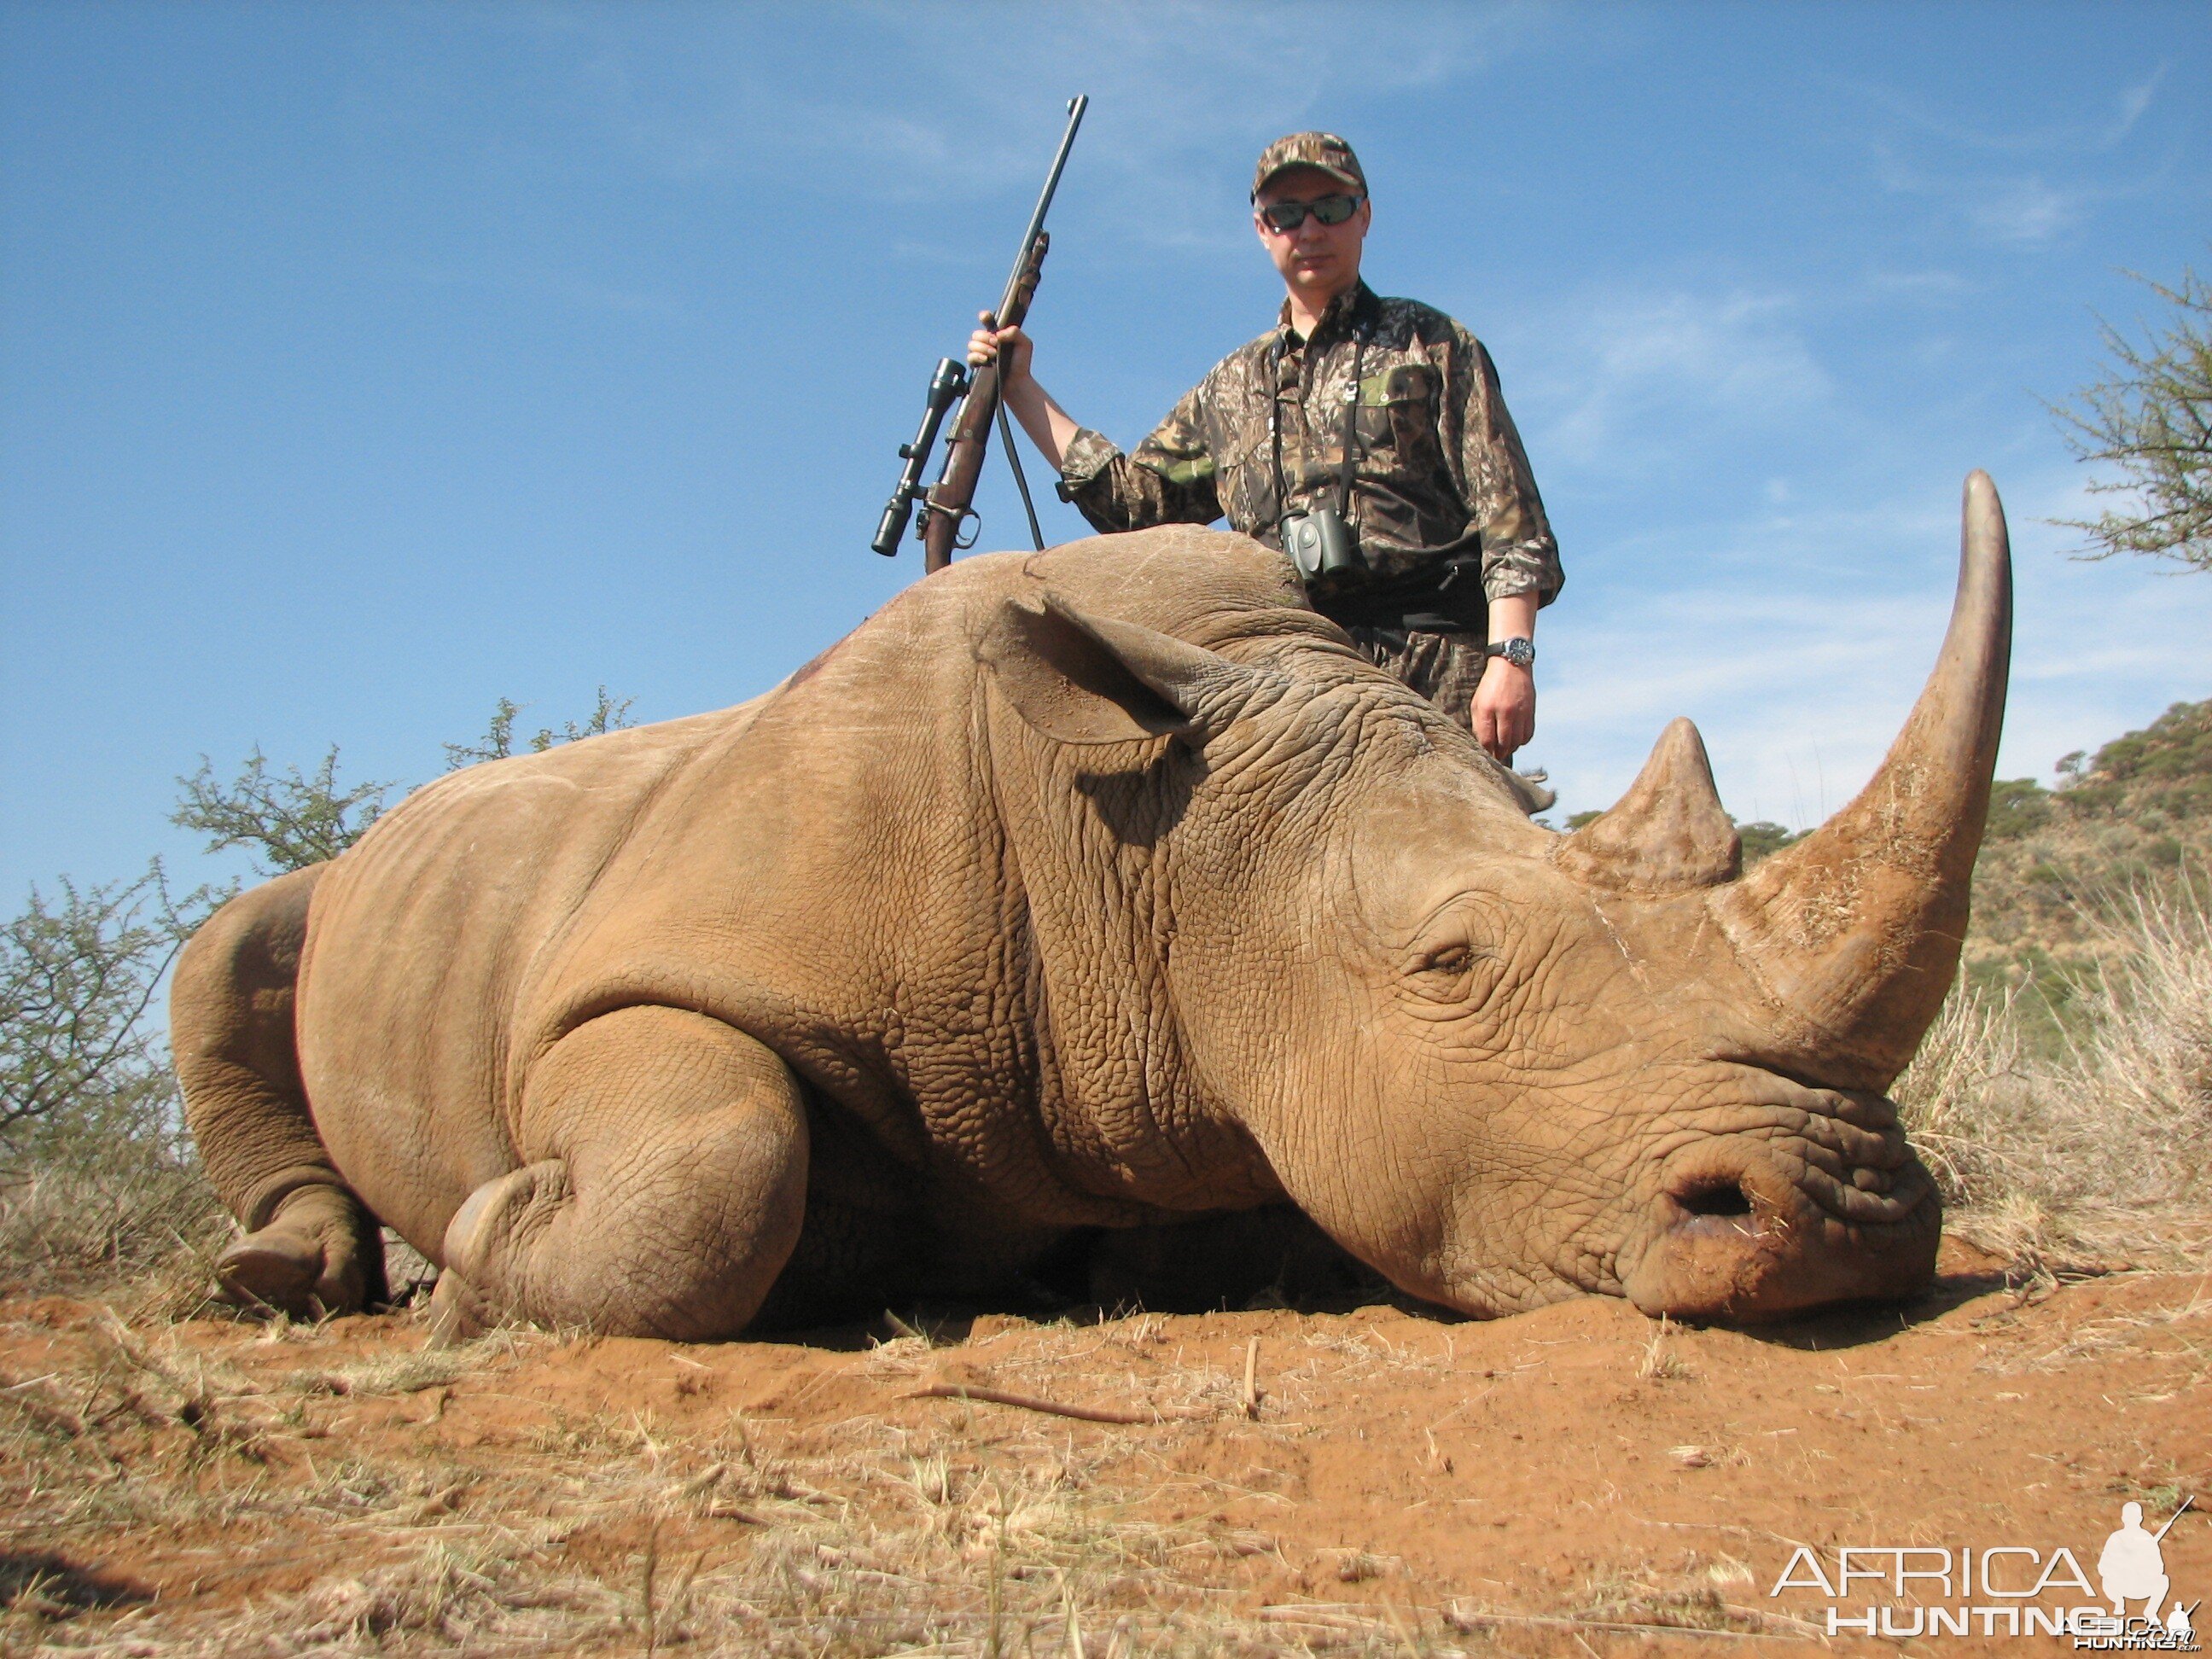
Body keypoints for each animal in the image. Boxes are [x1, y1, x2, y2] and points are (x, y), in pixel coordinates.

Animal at [167, 471, 2008, 1336]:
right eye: (1450, 958)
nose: (1846, 1219)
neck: (1135, 842)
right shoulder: (637, 975)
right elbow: (714, 1164)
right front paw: (486, 1242)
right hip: (363, 883)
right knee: (234, 936)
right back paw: (297, 1278)